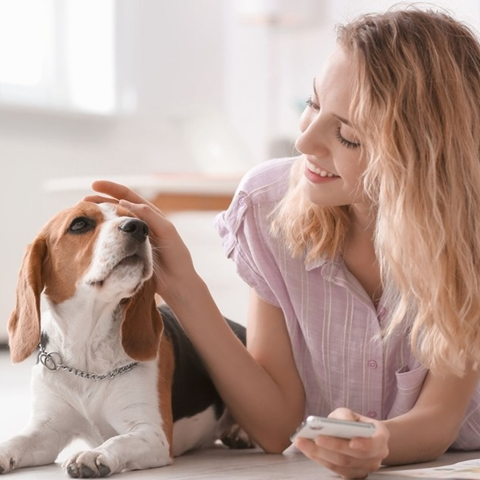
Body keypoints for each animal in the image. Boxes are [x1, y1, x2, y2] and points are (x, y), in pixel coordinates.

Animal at [0, 200, 253, 476]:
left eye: (139, 220)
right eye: (79, 224)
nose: (139, 227)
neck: (87, 351)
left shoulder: (152, 434)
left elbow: (117, 441)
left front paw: (92, 455)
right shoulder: (47, 430)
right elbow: (17, 440)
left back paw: (240, 433)